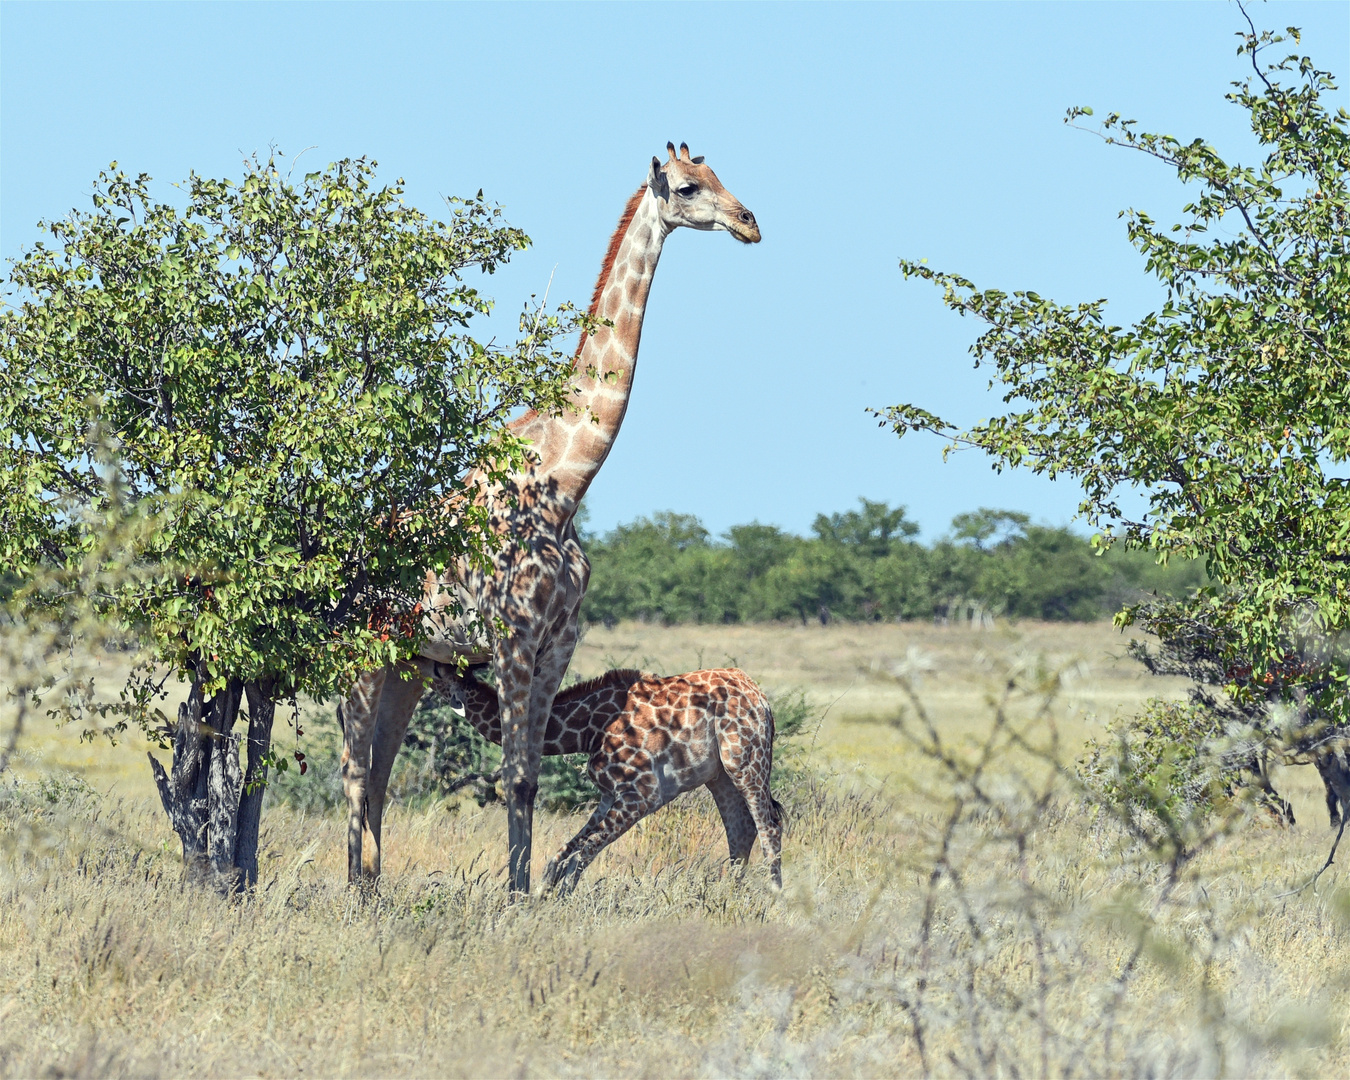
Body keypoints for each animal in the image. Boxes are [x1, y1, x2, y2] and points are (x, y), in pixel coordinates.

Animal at [432, 661, 788, 891]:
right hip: (719, 776)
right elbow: (565, 854)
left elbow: (580, 855)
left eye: (441, 673)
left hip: (745, 760)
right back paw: (728, 897)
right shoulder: (609, 794)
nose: (428, 663)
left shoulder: (643, 793)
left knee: (769, 825)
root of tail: (762, 698)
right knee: (741, 830)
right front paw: (541, 899)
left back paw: (773, 899)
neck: (590, 730)